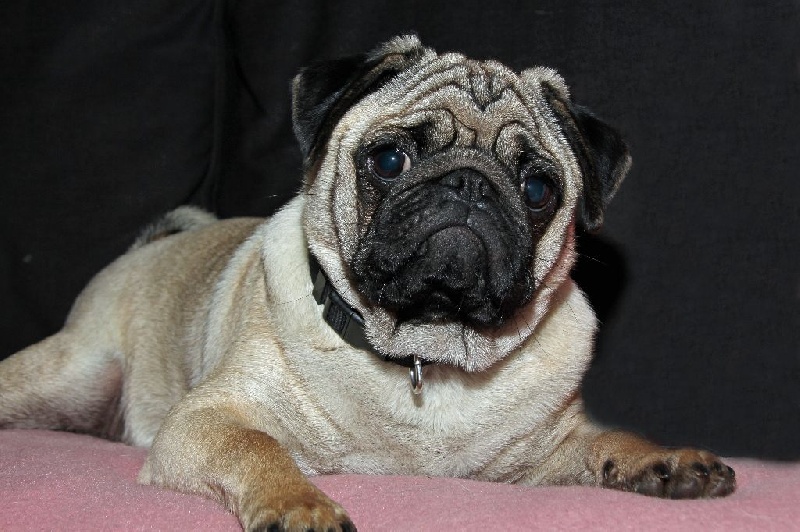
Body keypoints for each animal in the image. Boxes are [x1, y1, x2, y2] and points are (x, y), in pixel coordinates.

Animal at [0, 36, 735, 531]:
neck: (425, 358)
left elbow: (607, 441)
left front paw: (665, 461)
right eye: (388, 159)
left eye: (537, 189)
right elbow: (259, 446)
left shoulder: (540, 455)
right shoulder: (207, 420)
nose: (470, 186)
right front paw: (300, 503)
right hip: (69, 370)